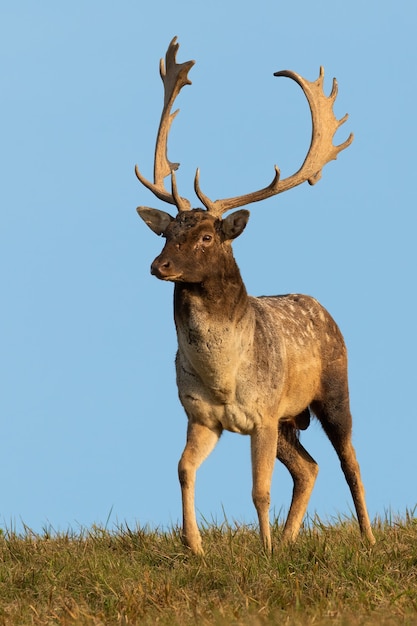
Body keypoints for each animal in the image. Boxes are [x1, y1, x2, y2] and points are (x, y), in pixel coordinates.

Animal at [135, 36, 376, 552]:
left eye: (207, 236)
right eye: (167, 233)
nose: (159, 266)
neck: (224, 375)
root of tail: (323, 307)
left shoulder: (263, 413)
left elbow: (259, 489)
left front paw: (262, 552)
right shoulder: (201, 415)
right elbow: (183, 468)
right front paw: (194, 545)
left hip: (334, 389)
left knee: (349, 460)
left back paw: (364, 538)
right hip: (289, 421)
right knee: (309, 467)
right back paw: (288, 540)